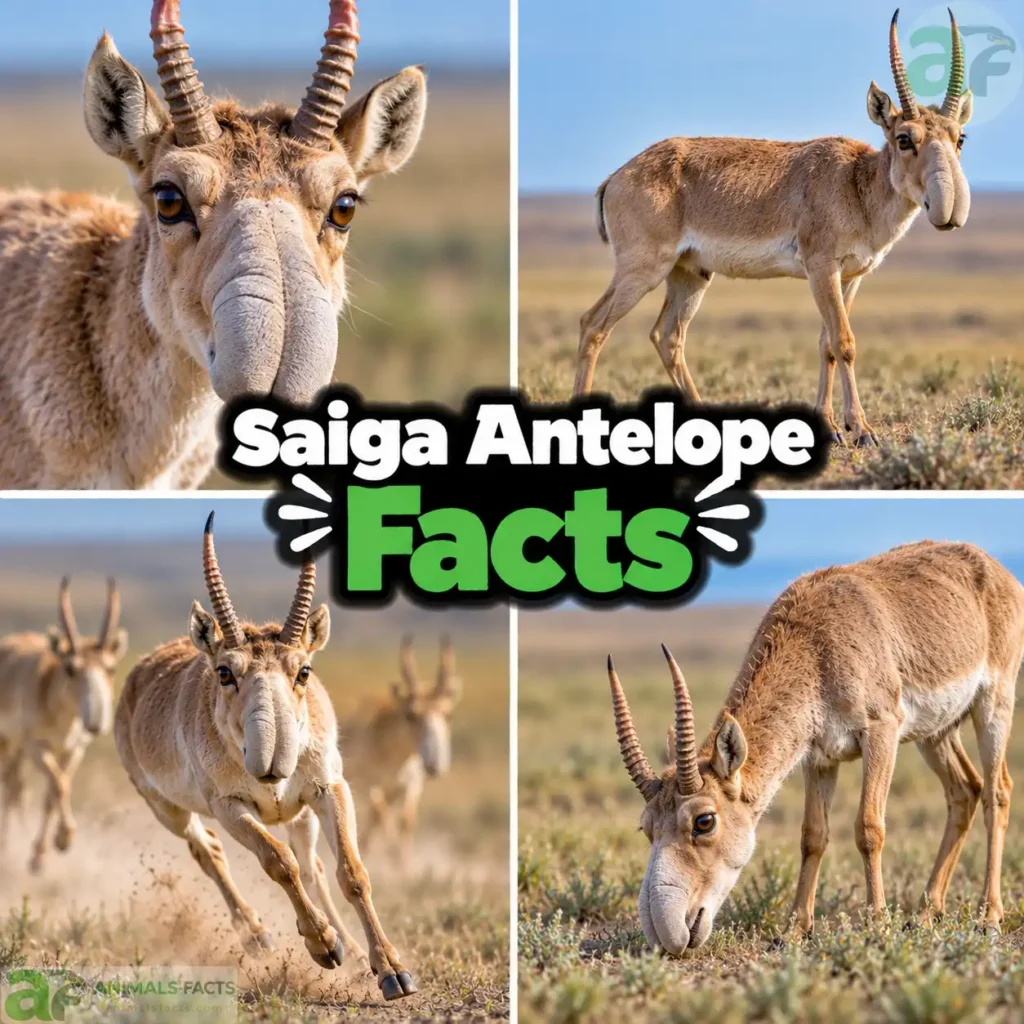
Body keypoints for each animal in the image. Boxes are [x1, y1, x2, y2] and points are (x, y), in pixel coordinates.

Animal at [0, 579, 127, 873]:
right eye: (71, 668)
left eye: (111, 668)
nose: (96, 721)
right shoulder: (37, 748)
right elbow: (58, 785)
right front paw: (63, 839)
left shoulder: (73, 750)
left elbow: (55, 790)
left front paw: (42, 854)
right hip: (7, 744)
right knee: (9, 786)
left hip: (17, 750)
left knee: (15, 787)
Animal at [114, 513, 417, 1001]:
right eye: (224, 672)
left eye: (304, 670)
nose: (272, 760)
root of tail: (139, 672)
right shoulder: (229, 807)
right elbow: (279, 862)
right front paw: (322, 946)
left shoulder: (329, 788)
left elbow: (350, 873)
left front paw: (392, 971)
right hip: (167, 809)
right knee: (207, 850)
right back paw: (259, 936)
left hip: (301, 813)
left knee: (313, 866)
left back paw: (352, 954)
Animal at [351, 635, 462, 859]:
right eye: (412, 714)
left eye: (448, 714)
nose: (434, 766)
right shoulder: (368, 785)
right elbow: (382, 816)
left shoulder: (412, 785)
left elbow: (406, 821)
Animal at [576, 9, 972, 447]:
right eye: (904, 138)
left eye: (959, 138)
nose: (946, 210)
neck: (855, 182)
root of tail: (616, 177)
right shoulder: (822, 270)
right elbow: (845, 342)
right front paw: (863, 430)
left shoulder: (850, 278)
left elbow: (826, 344)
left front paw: (831, 425)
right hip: (643, 269)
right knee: (593, 325)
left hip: (690, 275)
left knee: (668, 337)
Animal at [607, 541, 1024, 954]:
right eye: (646, 826)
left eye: (704, 820)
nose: (666, 934)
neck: (815, 645)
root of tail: (996, 570)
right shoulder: (819, 758)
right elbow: (813, 836)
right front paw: (793, 930)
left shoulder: (881, 732)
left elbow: (868, 828)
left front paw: (877, 926)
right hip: (936, 733)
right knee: (965, 791)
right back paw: (924, 914)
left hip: (993, 706)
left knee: (997, 792)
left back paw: (988, 917)